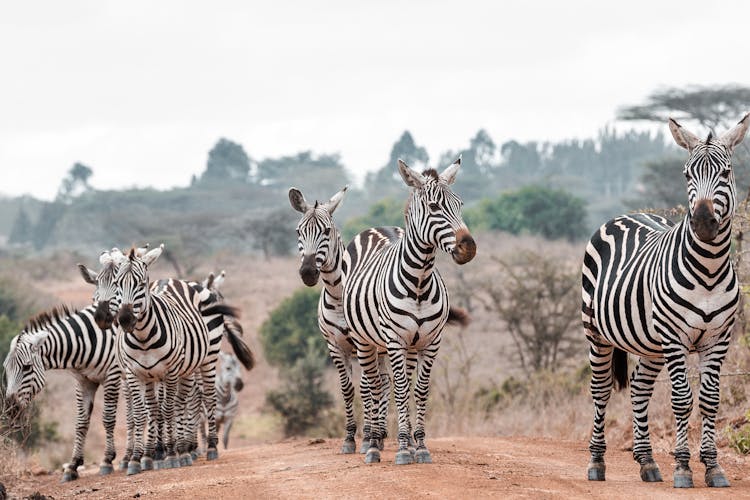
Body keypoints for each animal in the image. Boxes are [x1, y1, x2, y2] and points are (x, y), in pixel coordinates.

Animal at [2, 304, 120, 480]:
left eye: (27, 367)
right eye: (5, 368)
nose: (10, 410)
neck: (85, 342)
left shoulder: (112, 375)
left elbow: (108, 418)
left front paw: (107, 460)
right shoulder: (83, 382)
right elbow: (81, 423)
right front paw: (73, 465)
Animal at [342, 157, 472, 464]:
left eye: (460, 204)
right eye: (434, 207)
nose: (469, 247)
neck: (420, 281)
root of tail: (376, 228)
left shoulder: (431, 341)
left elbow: (420, 390)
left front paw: (419, 446)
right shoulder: (394, 341)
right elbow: (400, 390)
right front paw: (402, 448)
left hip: (408, 346)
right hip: (365, 341)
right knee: (374, 386)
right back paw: (372, 445)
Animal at [584, 114, 748, 488]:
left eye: (726, 173)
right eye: (687, 174)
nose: (703, 223)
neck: (709, 271)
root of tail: (625, 215)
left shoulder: (718, 339)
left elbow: (710, 400)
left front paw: (713, 467)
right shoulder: (675, 338)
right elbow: (682, 399)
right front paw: (684, 467)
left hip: (651, 345)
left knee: (640, 389)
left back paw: (646, 461)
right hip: (596, 332)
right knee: (601, 390)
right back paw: (597, 462)